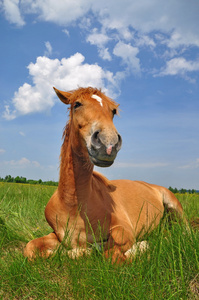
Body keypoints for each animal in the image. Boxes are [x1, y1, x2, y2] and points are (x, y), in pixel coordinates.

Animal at [23, 86, 187, 262]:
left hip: (175, 206)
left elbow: (111, 255)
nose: (108, 144)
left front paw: (141, 246)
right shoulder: (57, 235)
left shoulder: (124, 231)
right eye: (77, 104)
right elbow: (30, 248)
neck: (72, 205)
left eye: (113, 111)